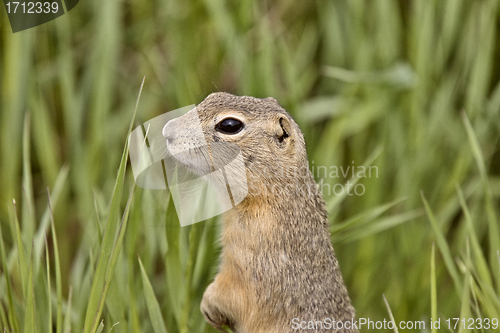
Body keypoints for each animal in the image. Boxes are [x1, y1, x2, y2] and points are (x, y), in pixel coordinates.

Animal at [162, 92, 358, 330]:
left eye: (229, 125)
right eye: (214, 95)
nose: (167, 129)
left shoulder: (251, 255)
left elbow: (234, 294)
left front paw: (208, 302)